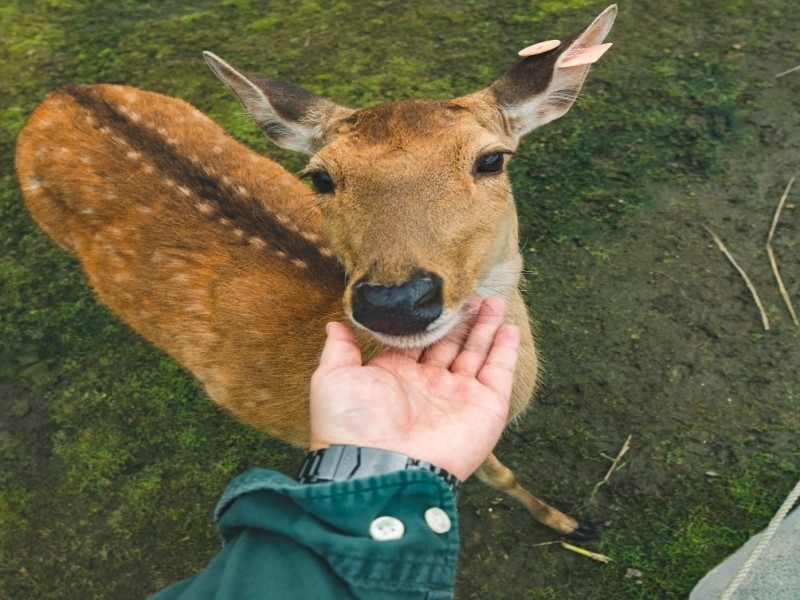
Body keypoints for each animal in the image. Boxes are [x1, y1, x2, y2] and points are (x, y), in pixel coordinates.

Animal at [15, 5, 616, 541]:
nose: (395, 301)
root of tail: (56, 94)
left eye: (492, 159)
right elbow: (492, 469)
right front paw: (568, 522)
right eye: (321, 177)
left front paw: (569, 521)